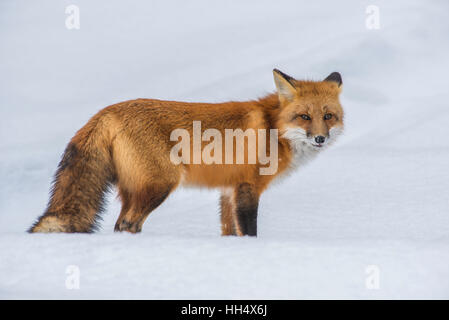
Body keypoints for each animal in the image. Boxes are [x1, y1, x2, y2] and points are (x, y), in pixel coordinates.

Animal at [28, 70, 344, 235]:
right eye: (304, 117)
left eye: (328, 116)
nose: (320, 138)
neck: (274, 128)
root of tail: (105, 112)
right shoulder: (247, 187)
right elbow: (249, 231)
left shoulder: (228, 191)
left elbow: (229, 231)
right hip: (159, 186)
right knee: (128, 224)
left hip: (134, 190)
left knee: (120, 225)